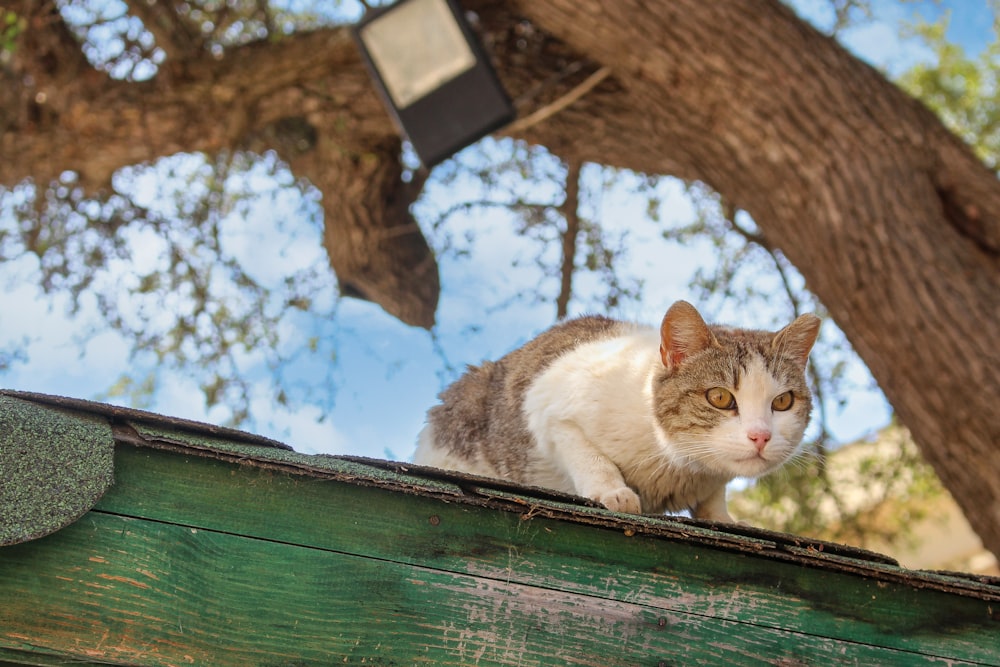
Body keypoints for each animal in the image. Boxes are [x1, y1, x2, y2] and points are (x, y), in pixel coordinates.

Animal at [414, 300, 820, 524]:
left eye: (782, 402)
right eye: (719, 398)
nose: (761, 435)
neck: (679, 467)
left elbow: (713, 497)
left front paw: (721, 515)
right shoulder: (549, 408)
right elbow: (589, 454)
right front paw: (613, 491)